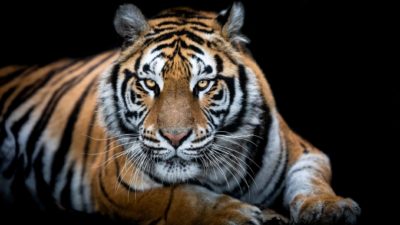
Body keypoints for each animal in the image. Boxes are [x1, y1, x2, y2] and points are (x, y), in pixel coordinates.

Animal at [0, 3, 360, 225]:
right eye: (149, 83)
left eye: (203, 84)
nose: (174, 137)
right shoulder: (115, 182)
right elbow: (181, 196)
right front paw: (236, 213)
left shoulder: (307, 152)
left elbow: (312, 181)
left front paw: (331, 207)